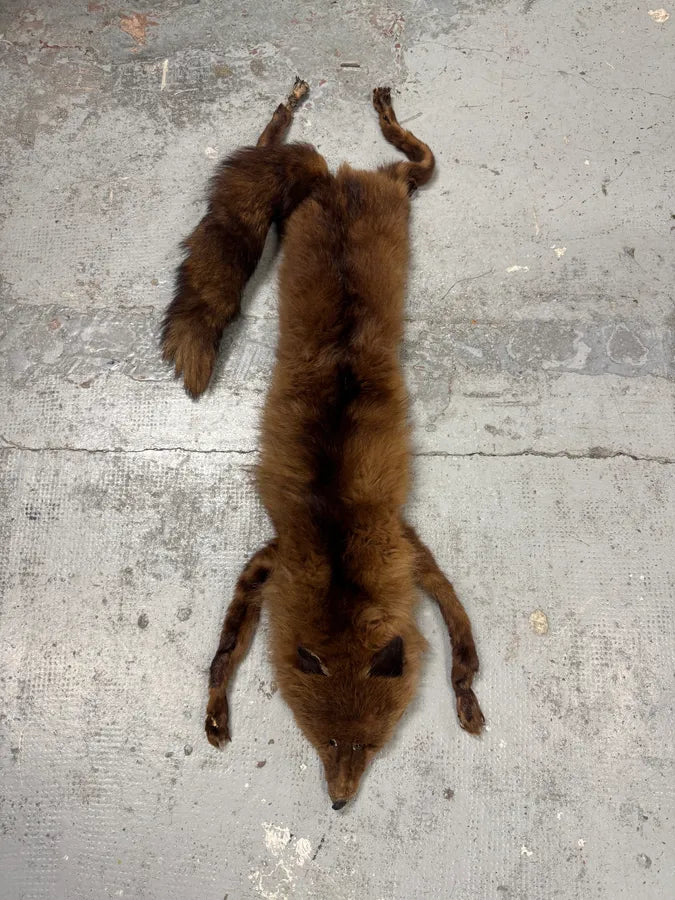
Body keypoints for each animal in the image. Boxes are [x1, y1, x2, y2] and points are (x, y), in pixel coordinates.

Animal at [161, 78, 484, 810]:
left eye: (367, 746)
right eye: (325, 741)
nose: (338, 804)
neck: (339, 552)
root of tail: (334, 182)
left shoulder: (410, 553)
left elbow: (463, 648)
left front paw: (467, 703)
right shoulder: (273, 557)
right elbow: (223, 652)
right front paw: (216, 714)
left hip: (397, 187)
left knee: (410, 156)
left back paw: (376, 114)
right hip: (341, 202)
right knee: (274, 148)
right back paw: (307, 111)